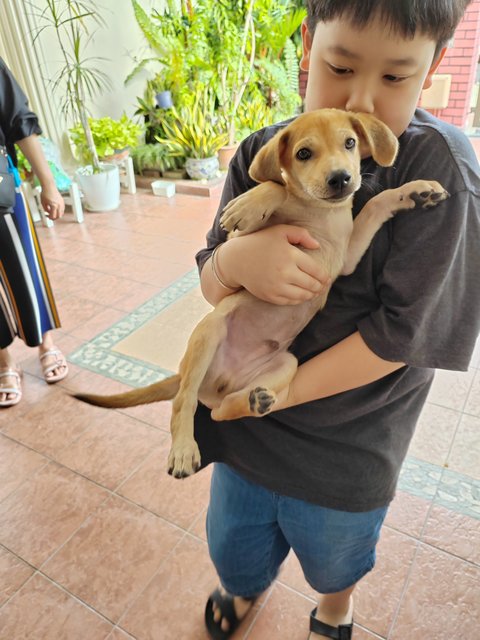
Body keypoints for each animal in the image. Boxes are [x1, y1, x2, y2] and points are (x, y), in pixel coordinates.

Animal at [74, 110, 446, 478]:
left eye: (350, 143)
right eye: (303, 153)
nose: (341, 179)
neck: (319, 212)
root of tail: (219, 379)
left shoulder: (347, 257)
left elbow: (375, 205)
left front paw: (417, 191)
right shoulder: (242, 239)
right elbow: (275, 186)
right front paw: (252, 202)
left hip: (285, 364)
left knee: (221, 410)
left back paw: (255, 402)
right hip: (210, 330)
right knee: (185, 401)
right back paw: (182, 450)